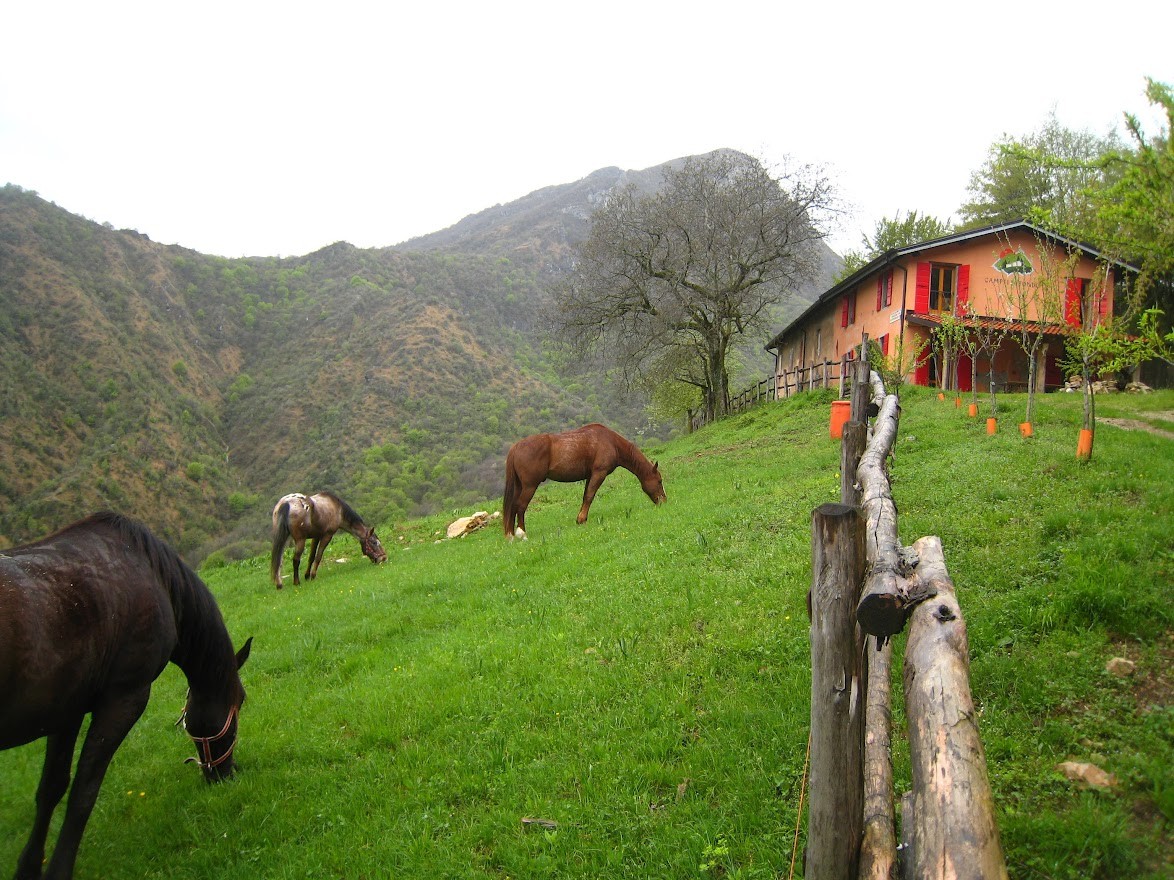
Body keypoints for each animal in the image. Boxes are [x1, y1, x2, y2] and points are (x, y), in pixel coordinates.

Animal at [0, 513, 252, 877]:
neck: (154, 576)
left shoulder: (67, 710)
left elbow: (51, 788)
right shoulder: (124, 699)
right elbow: (83, 793)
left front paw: (29, 867)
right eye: (240, 701)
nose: (225, 775)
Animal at [504, 420, 671, 537]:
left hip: (520, 486)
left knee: (513, 506)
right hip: (530, 486)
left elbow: (585, 496)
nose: (664, 501)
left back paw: (511, 535)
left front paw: (581, 519)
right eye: (659, 481)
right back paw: (522, 533)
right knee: (520, 506)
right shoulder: (599, 473)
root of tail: (516, 447)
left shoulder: (590, 476)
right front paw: (581, 520)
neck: (610, 442)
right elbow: (590, 496)